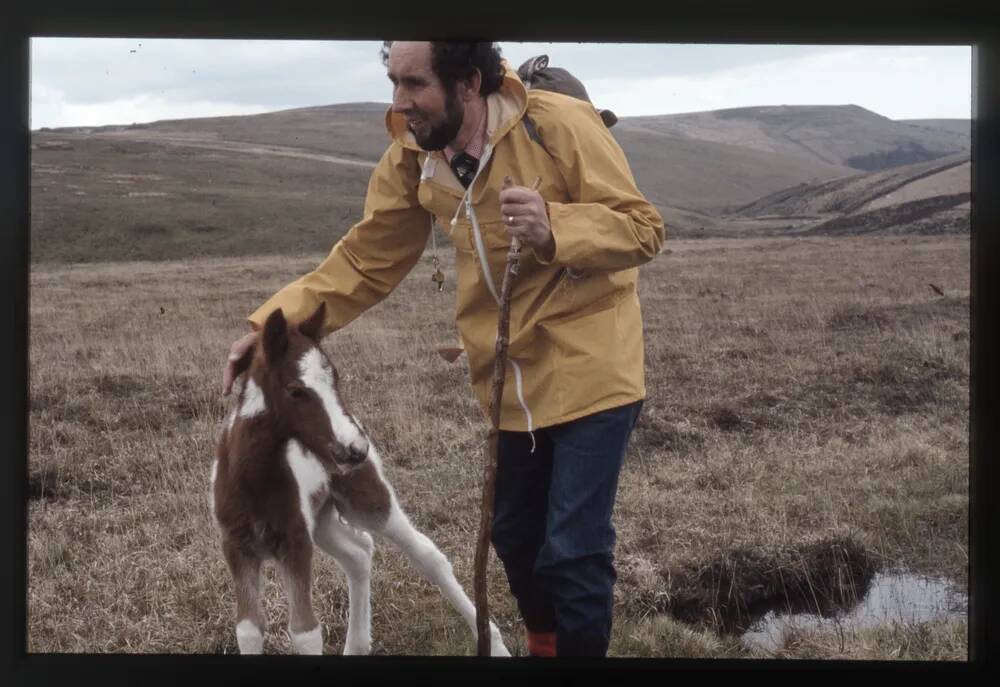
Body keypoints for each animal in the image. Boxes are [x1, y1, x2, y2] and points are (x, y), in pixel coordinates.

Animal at [209, 306, 508, 656]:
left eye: (335, 379)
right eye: (296, 391)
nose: (355, 448)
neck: (254, 483)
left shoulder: (295, 543)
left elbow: (305, 631)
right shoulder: (237, 546)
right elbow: (248, 628)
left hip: (366, 499)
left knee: (427, 555)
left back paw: (494, 644)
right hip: (322, 520)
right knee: (359, 553)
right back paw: (357, 644)